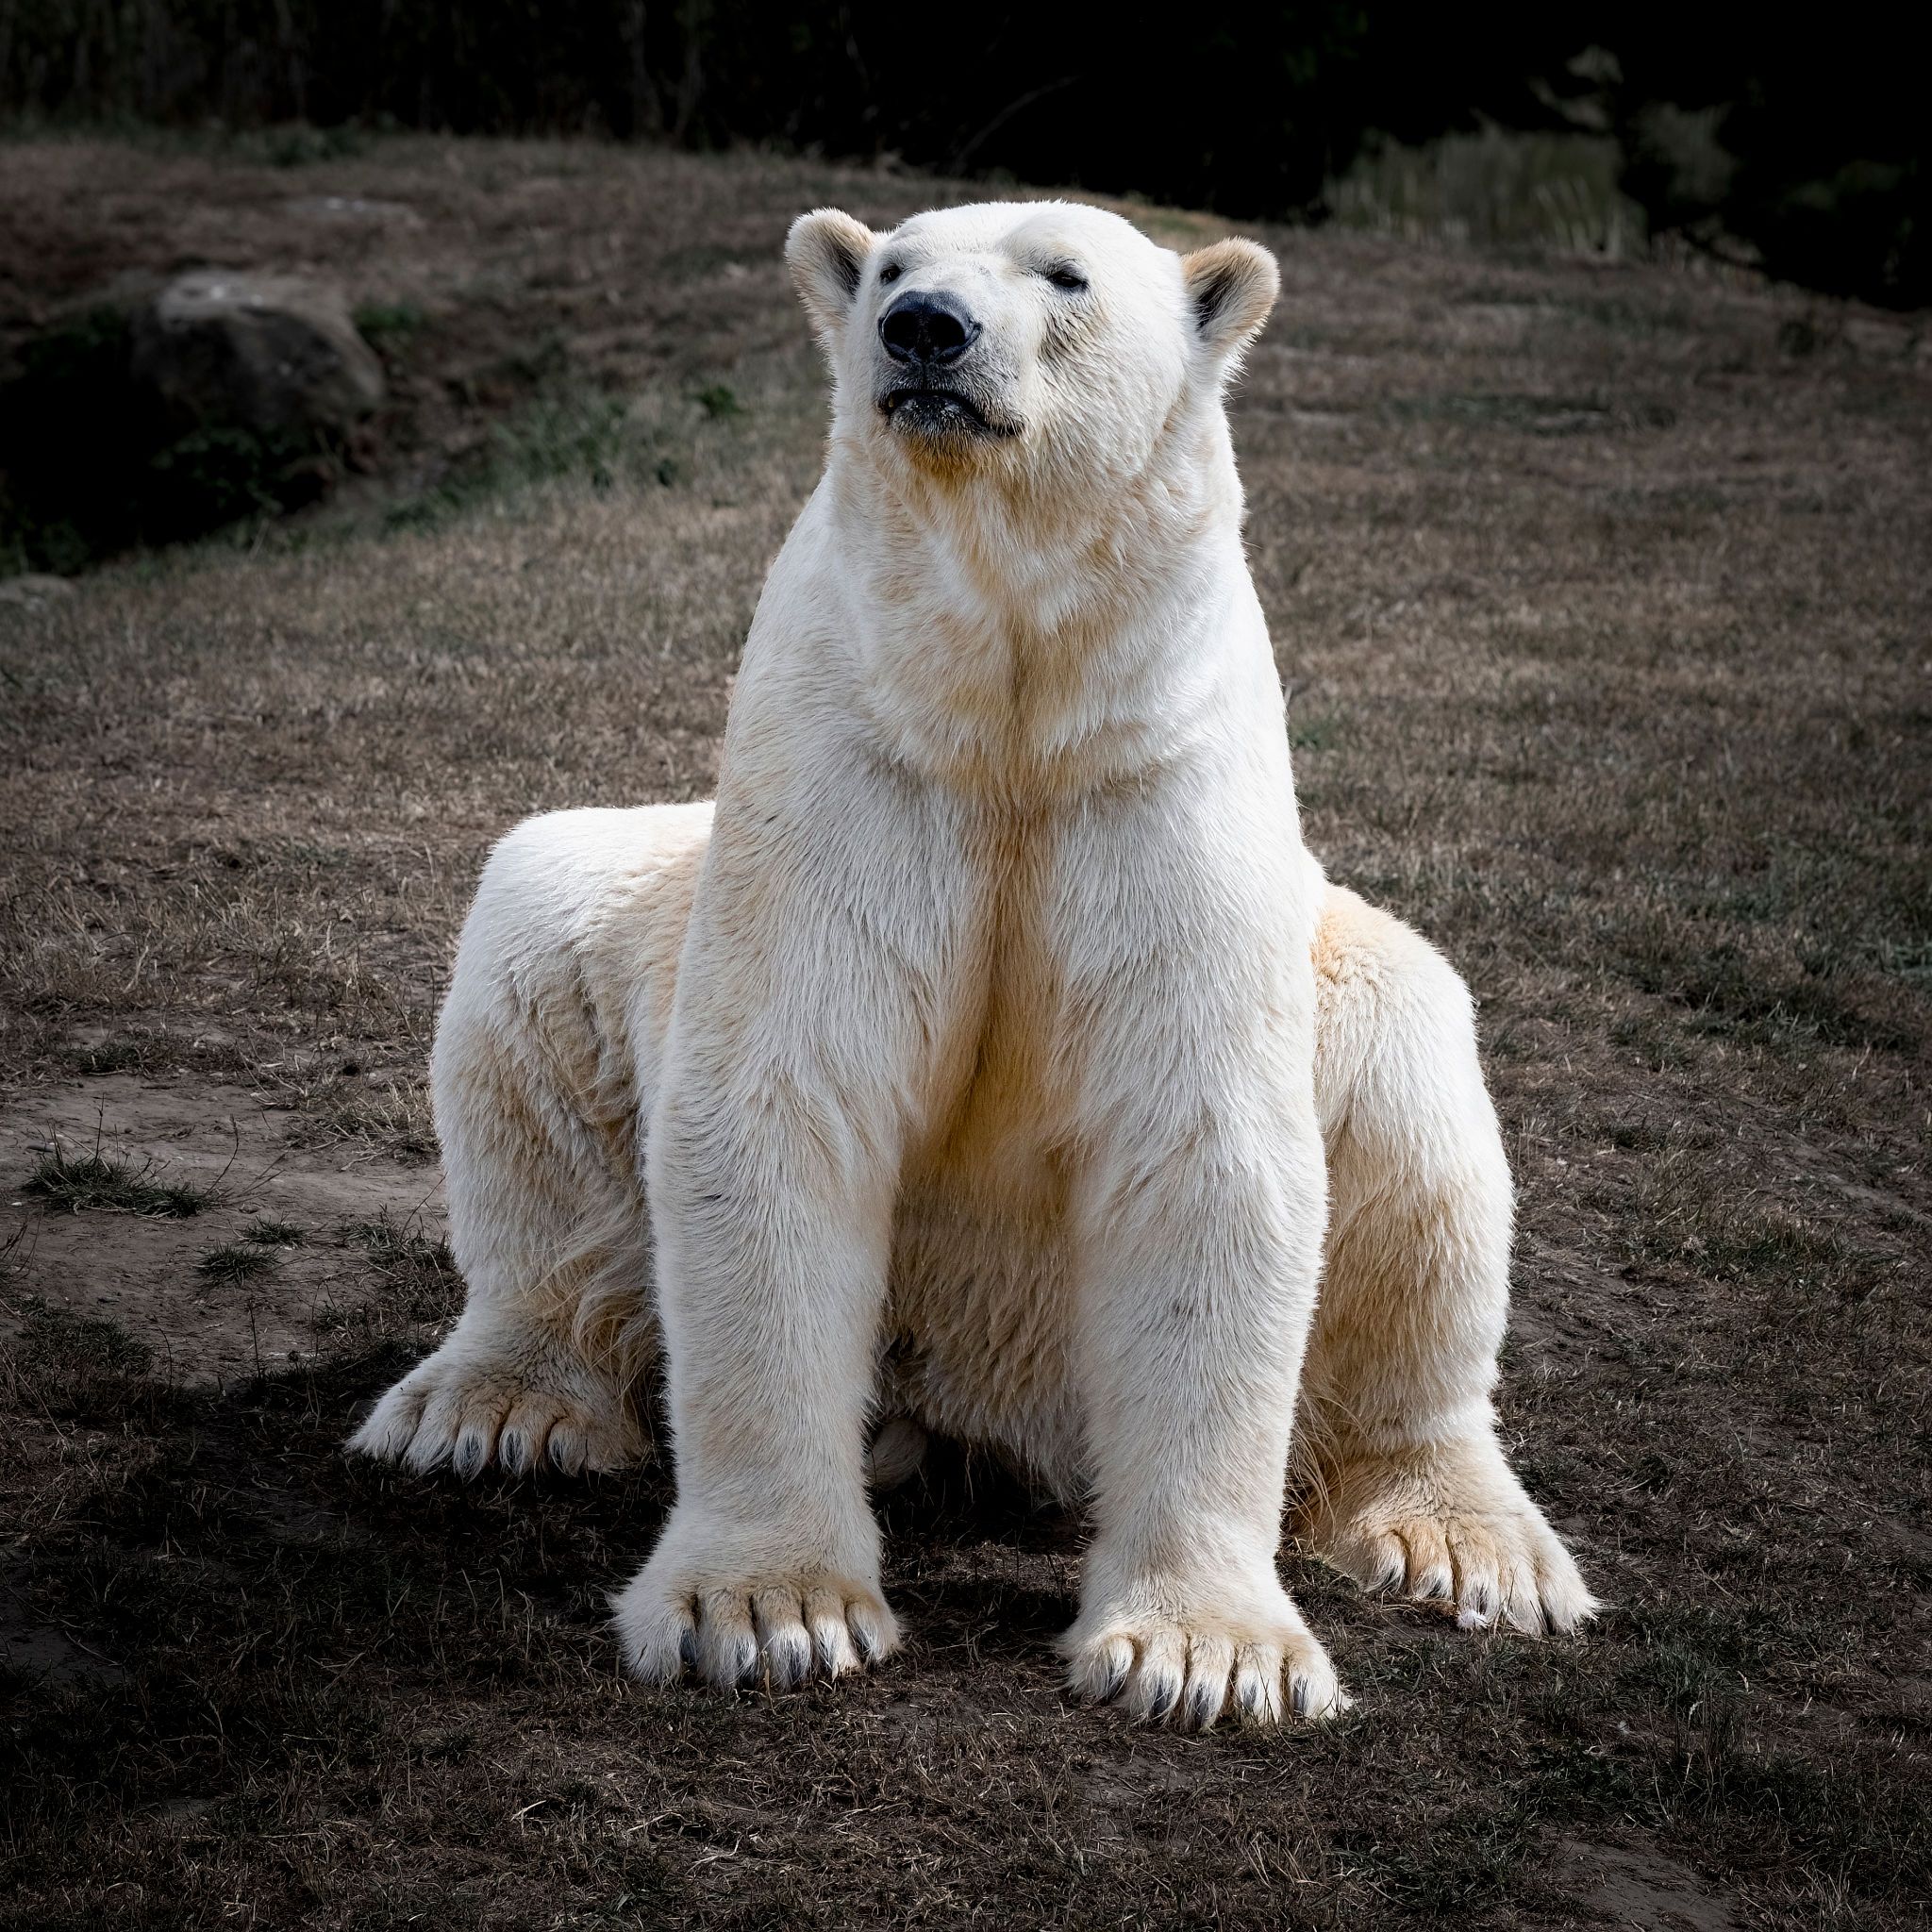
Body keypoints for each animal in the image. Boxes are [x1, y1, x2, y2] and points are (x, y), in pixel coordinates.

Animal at [350, 199, 1596, 1727]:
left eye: (1065, 275)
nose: (924, 331)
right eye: (893, 264)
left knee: (1423, 1119)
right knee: (536, 939)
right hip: (632, 918)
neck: (1007, 709)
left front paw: (1205, 1655)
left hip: (1345, 994)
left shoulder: (1152, 780)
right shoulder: (849, 757)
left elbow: (1206, 1150)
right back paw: (492, 1407)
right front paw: (770, 1611)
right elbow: (785, 1103)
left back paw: (1469, 1545)